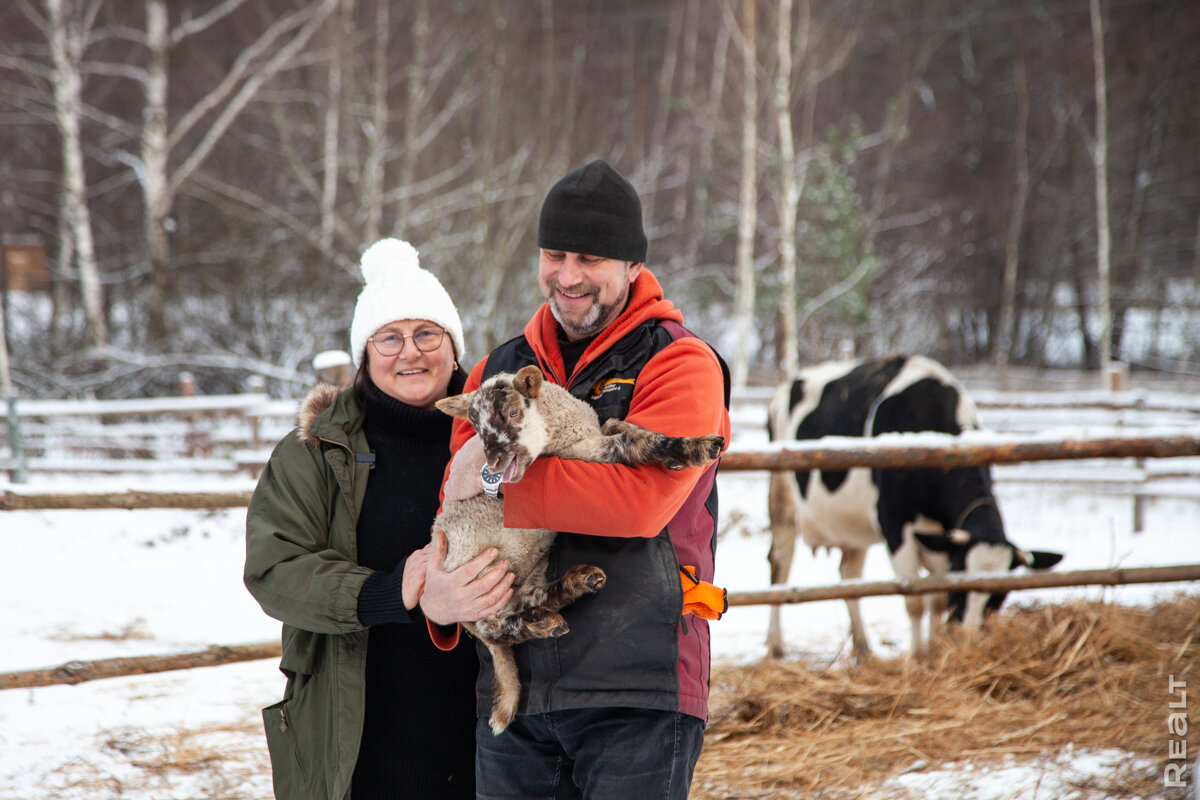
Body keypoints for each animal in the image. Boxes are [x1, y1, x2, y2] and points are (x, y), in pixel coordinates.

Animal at [436, 367, 724, 734]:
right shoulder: (582, 452)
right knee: (497, 629)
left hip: (527, 570)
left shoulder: (591, 435)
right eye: (475, 426)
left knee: (530, 597)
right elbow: (631, 443)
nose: (494, 463)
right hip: (474, 577)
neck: (563, 425)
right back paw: (544, 622)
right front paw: (697, 448)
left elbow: (620, 425)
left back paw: (577, 585)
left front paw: (678, 455)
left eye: (513, 413)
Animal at [768, 357, 1060, 657]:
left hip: (851, 524)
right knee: (780, 568)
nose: (969, 641)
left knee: (850, 576)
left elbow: (937, 599)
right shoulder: (894, 525)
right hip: (782, 501)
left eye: (999, 596)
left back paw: (863, 649)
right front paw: (917, 657)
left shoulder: (941, 540)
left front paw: (934, 649)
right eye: (962, 582)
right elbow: (915, 600)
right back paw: (775, 645)